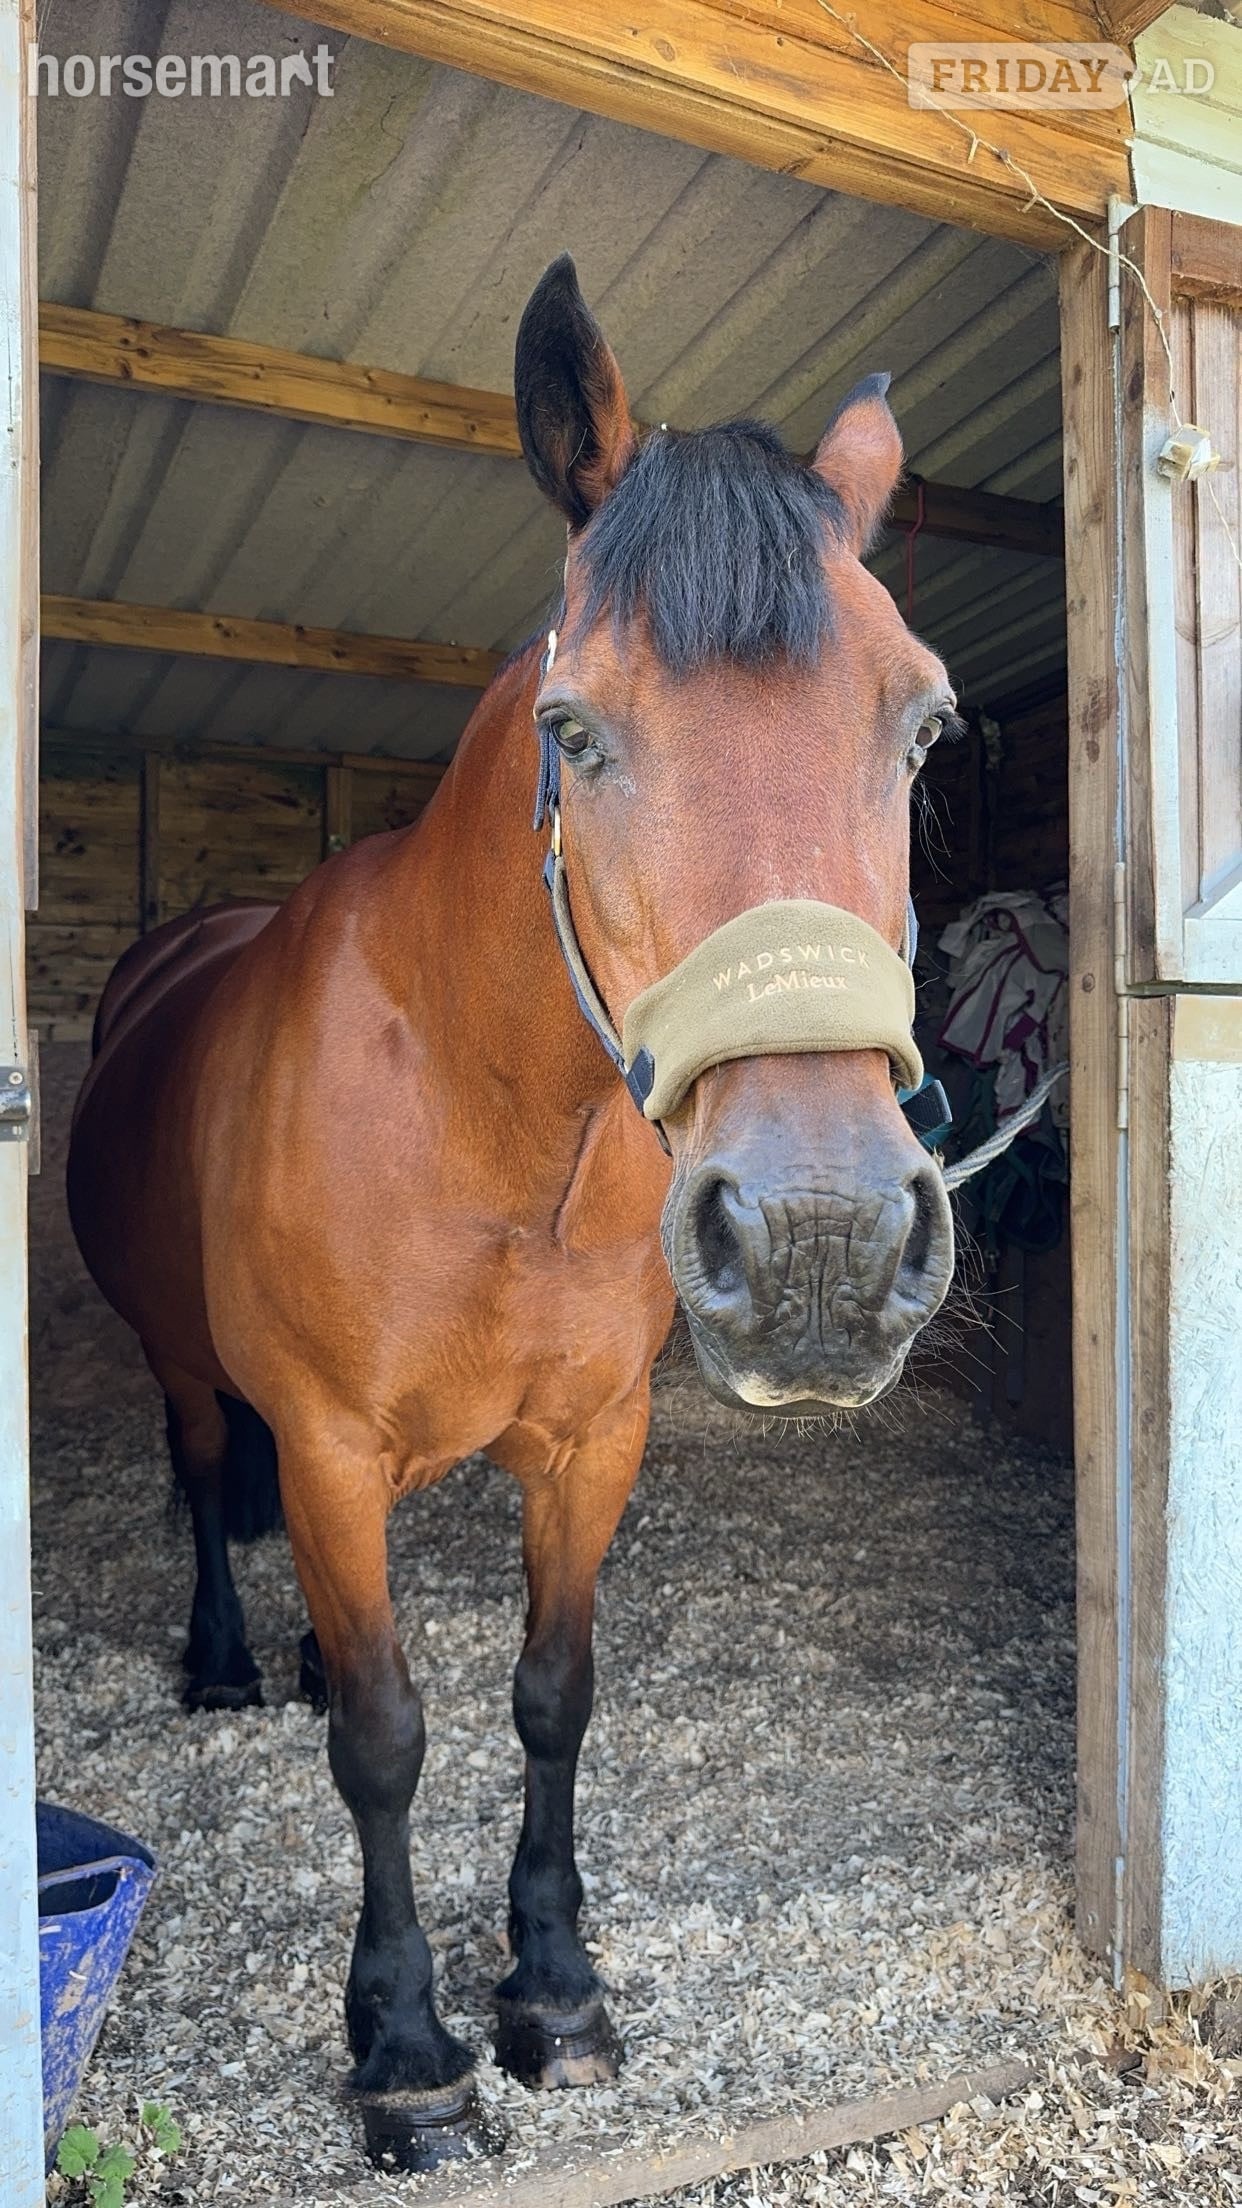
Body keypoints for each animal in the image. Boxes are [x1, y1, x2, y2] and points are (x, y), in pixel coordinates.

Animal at [67, 254, 957, 2170]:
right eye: (574, 731)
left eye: (922, 725)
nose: (826, 1245)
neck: (486, 1124)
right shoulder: (331, 1449)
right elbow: (390, 1735)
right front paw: (404, 2045)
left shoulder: (589, 1438)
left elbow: (553, 1694)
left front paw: (552, 1991)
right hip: (189, 1365)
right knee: (205, 1466)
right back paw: (231, 1661)